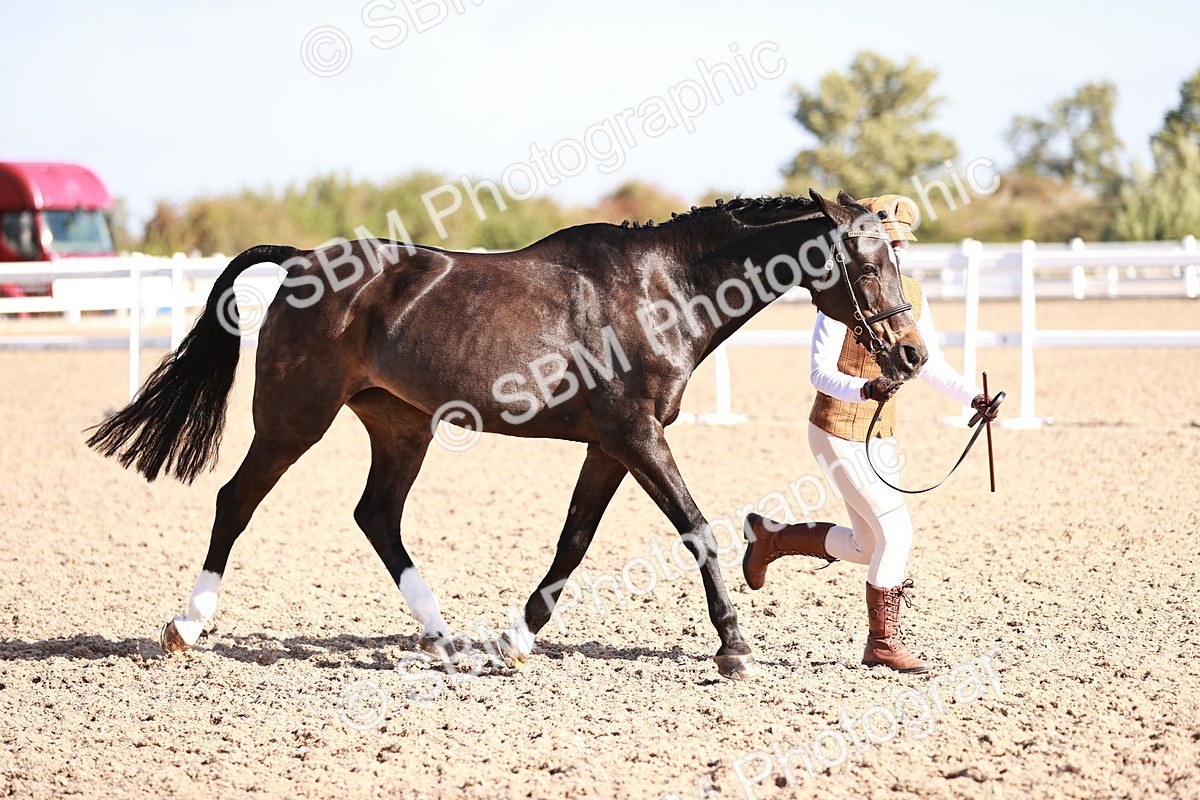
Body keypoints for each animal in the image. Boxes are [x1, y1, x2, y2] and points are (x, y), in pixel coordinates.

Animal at [87, 189, 927, 680]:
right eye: (867, 263)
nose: (911, 356)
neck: (662, 291)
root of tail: (300, 261)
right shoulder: (636, 435)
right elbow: (694, 528)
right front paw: (734, 649)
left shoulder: (609, 445)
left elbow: (574, 541)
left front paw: (519, 643)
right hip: (295, 419)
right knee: (236, 502)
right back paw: (186, 627)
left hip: (400, 426)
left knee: (376, 516)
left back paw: (448, 641)